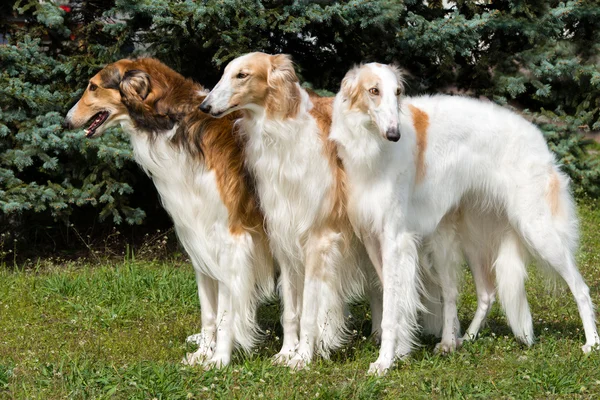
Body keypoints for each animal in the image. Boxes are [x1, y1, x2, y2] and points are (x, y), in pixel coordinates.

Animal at [63, 57, 274, 368]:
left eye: (93, 86)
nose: (66, 121)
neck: (177, 124)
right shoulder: (198, 237)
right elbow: (208, 311)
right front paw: (203, 352)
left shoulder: (231, 240)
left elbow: (225, 314)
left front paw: (219, 360)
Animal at [202, 53, 380, 368]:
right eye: (224, 72)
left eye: (242, 75)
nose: (205, 106)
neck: (284, 134)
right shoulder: (284, 239)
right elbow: (291, 310)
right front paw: (287, 352)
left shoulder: (318, 239)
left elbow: (309, 311)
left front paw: (303, 356)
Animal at [330, 62, 596, 376]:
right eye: (373, 90)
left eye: (397, 92)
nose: (394, 134)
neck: (372, 145)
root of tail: (538, 139)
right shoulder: (373, 238)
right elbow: (396, 300)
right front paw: (401, 351)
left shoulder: (395, 239)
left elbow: (392, 309)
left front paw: (384, 361)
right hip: (470, 240)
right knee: (485, 293)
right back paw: (460, 339)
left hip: (538, 229)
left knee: (580, 287)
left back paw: (591, 343)